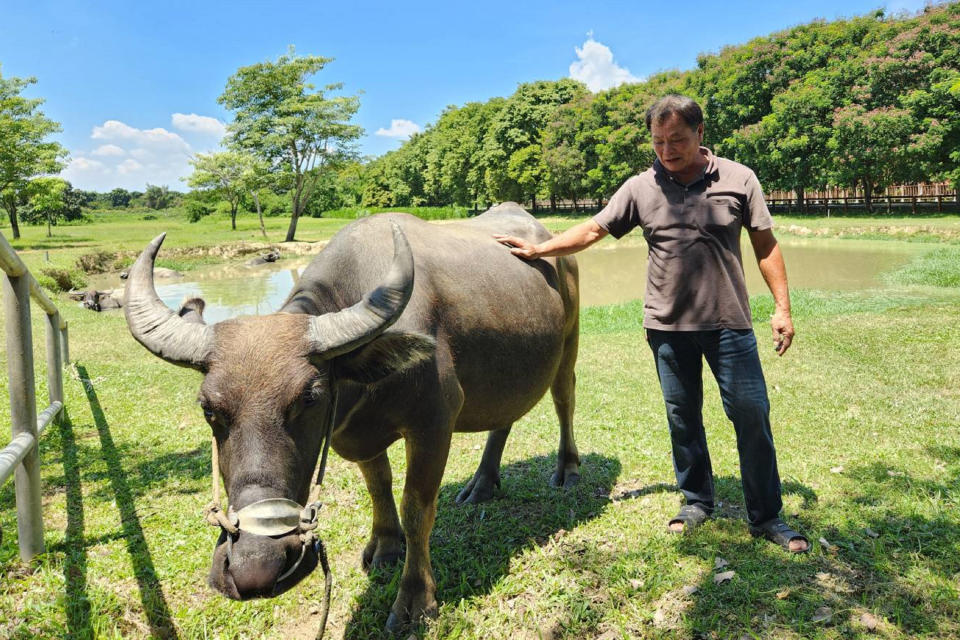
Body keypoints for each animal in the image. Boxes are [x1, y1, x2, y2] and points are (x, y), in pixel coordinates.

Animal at [124, 204, 580, 632]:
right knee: (504, 416)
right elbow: (379, 487)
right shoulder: (355, 437)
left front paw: (415, 600)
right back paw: (482, 483)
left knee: (564, 400)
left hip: (568, 346)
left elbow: (417, 509)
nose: (255, 565)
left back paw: (567, 470)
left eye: (310, 397)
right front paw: (385, 546)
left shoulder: (434, 423)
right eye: (209, 409)